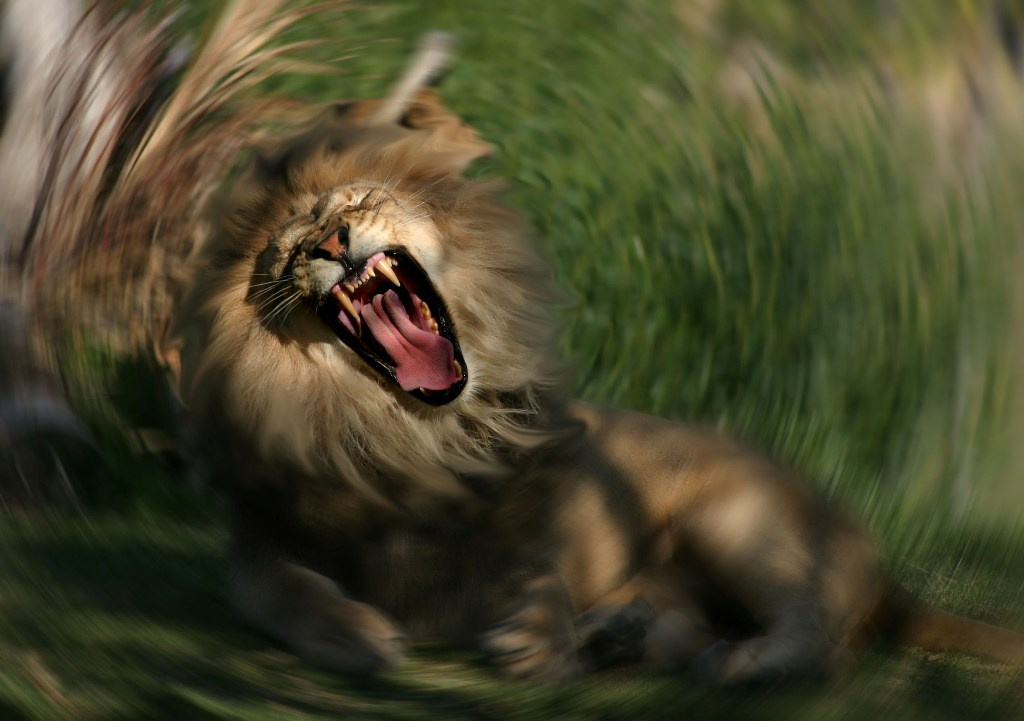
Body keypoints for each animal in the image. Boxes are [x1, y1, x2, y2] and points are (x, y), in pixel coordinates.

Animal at [178, 34, 1024, 684]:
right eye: (289, 252)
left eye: (354, 204)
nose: (328, 244)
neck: (403, 429)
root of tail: (882, 571)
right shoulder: (260, 536)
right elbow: (281, 588)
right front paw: (350, 631)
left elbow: (536, 554)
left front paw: (541, 634)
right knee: (689, 619)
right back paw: (623, 632)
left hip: (737, 519)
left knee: (825, 633)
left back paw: (741, 659)